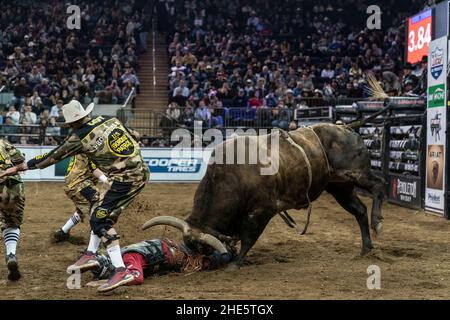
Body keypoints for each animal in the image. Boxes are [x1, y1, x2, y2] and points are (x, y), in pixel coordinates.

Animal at [143, 109, 386, 268]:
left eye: (204, 249)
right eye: (190, 247)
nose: (196, 263)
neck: (231, 177)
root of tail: (345, 127)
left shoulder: (262, 211)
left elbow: (249, 237)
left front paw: (236, 263)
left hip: (356, 174)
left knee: (379, 186)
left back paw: (377, 222)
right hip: (339, 187)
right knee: (359, 210)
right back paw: (366, 248)